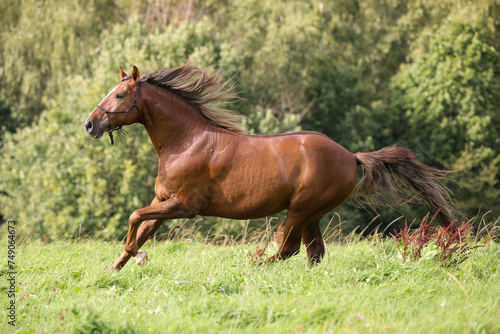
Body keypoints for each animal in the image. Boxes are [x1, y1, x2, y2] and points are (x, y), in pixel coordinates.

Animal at [85, 63, 454, 272]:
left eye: (120, 95)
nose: (90, 124)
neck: (185, 142)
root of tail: (351, 156)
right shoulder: (163, 202)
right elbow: (141, 229)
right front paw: (115, 268)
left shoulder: (183, 206)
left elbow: (134, 218)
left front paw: (139, 258)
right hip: (312, 214)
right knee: (314, 253)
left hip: (300, 209)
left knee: (290, 249)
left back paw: (254, 265)